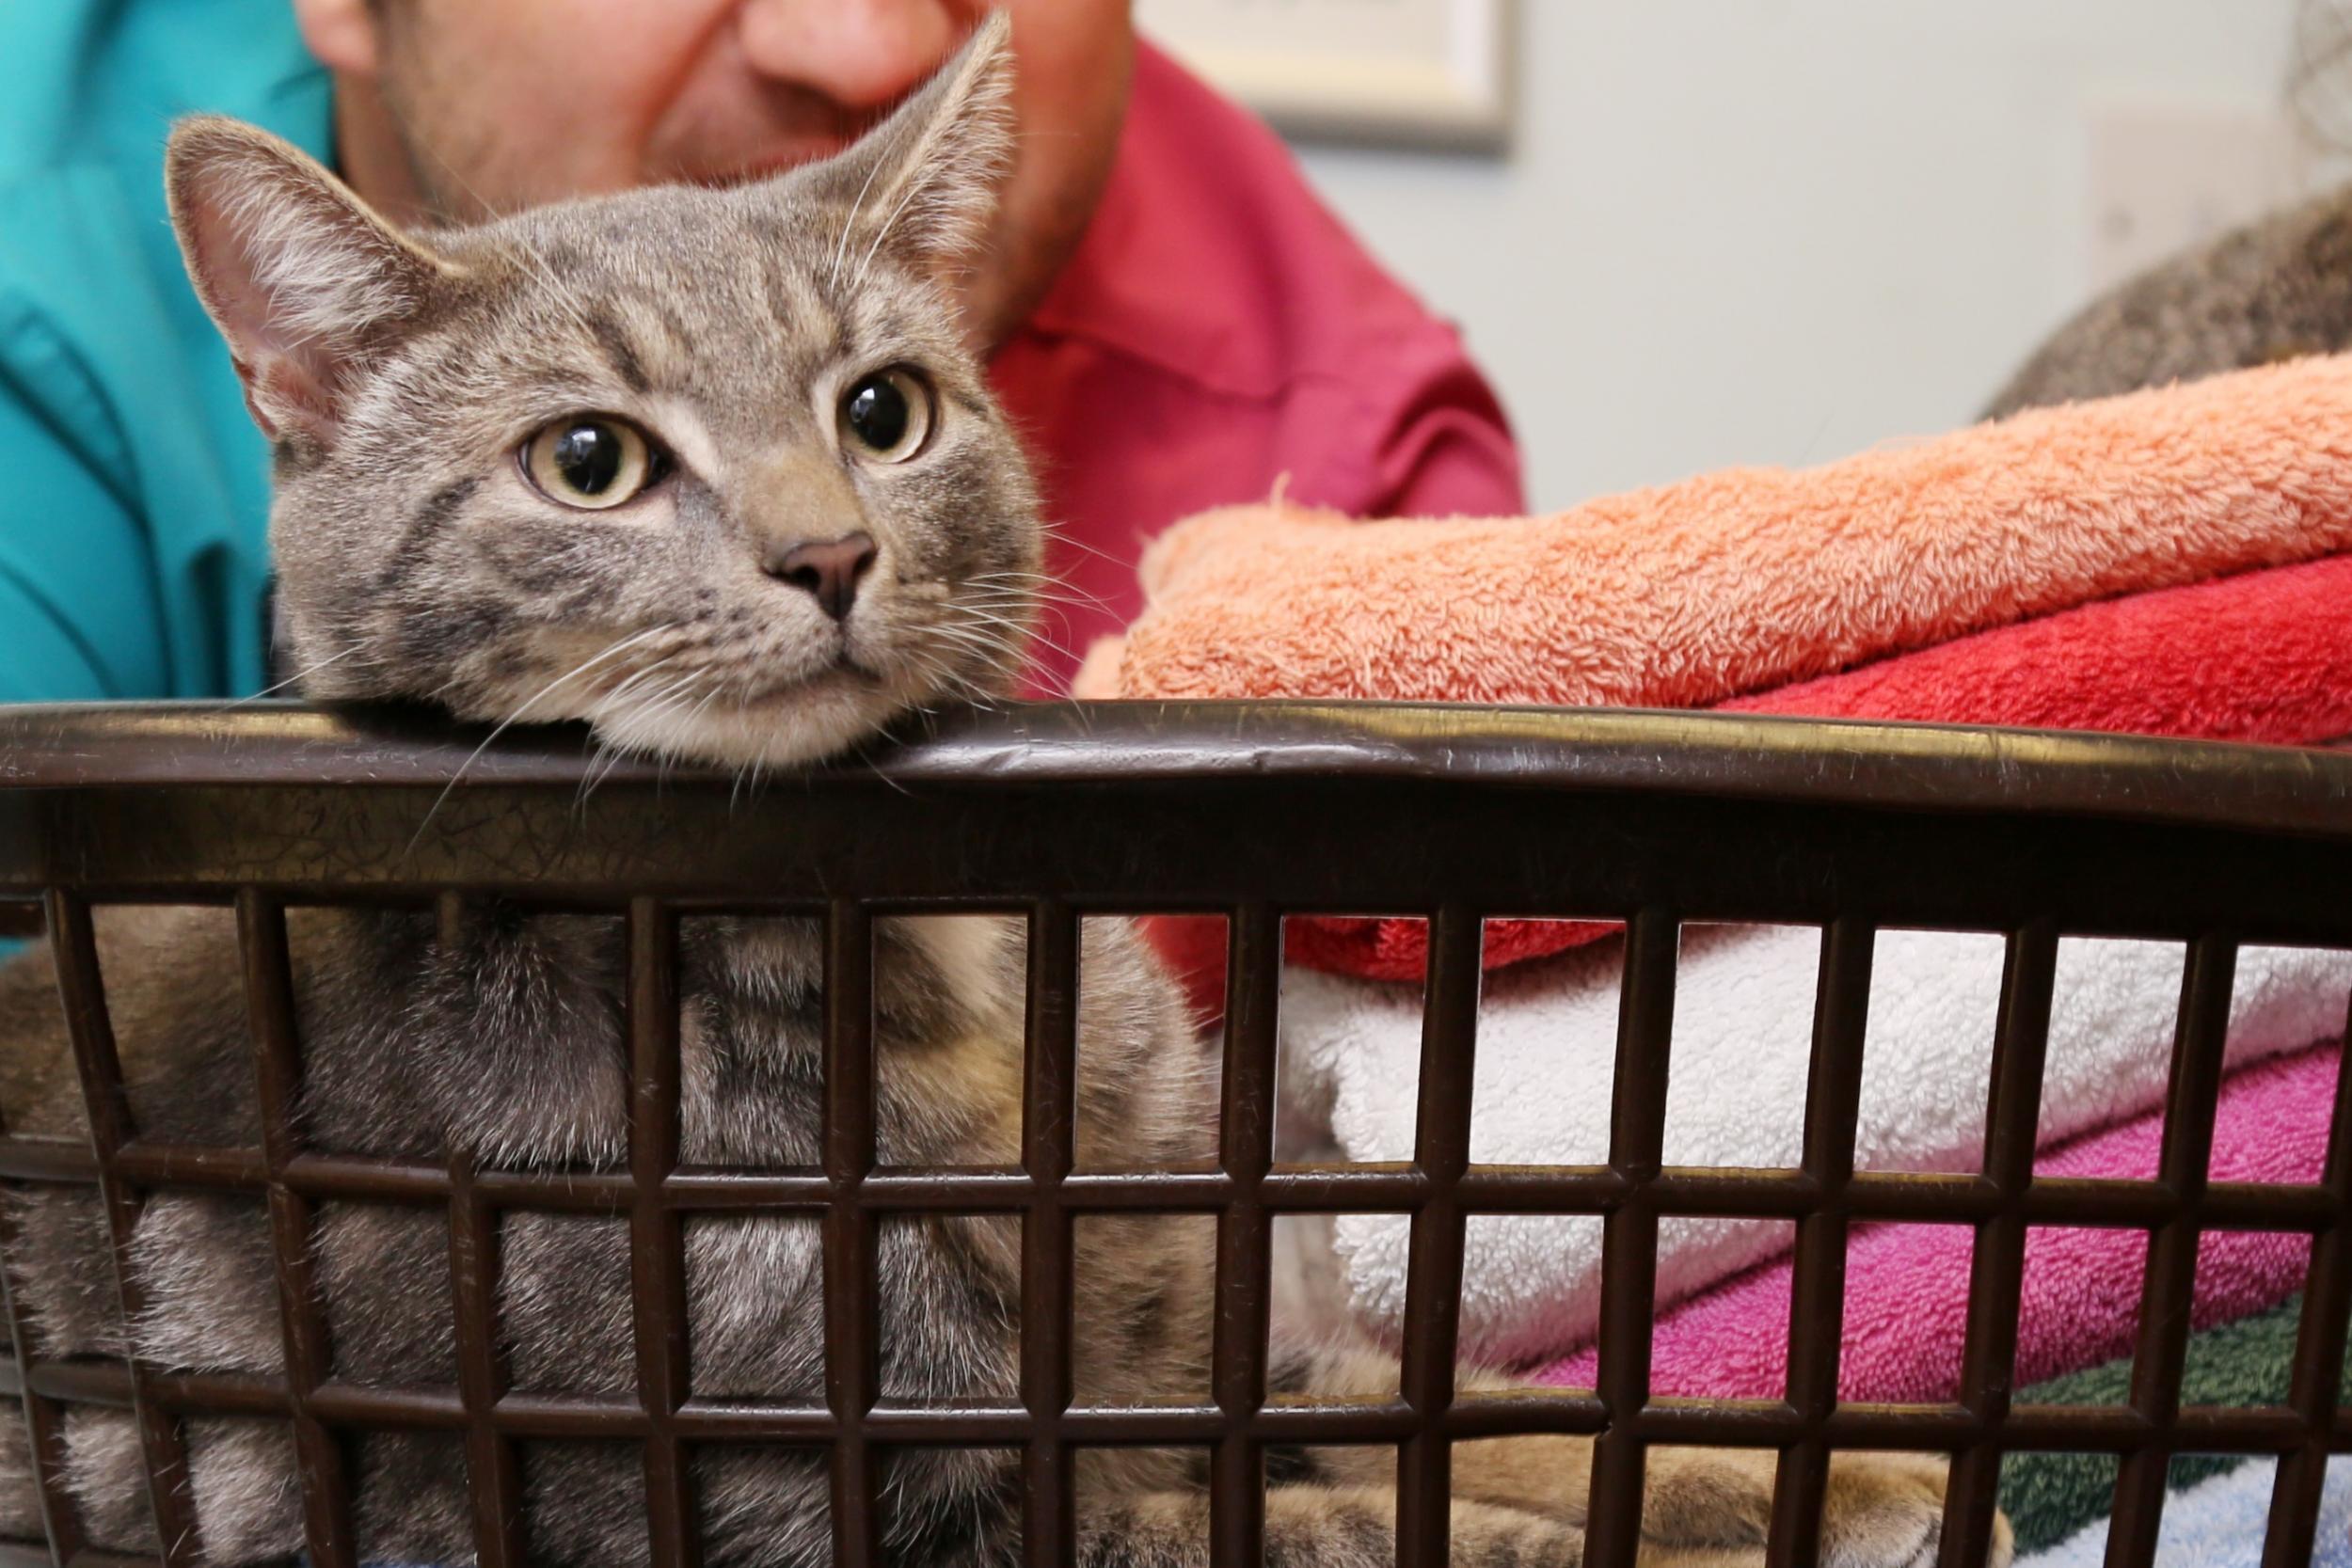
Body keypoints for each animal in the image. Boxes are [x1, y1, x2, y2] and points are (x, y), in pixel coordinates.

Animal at [0, 21, 2004, 1568]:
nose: (829, 553)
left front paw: (1839, 1472)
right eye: (588, 460)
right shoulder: (893, 1490)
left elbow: (1483, 1416)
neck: (955, 967)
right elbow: (1389, 1520)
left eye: (884, 409)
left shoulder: (1227, 1348)